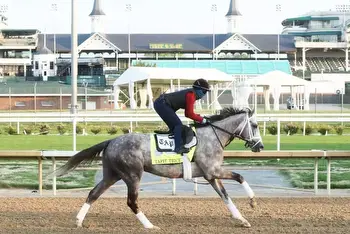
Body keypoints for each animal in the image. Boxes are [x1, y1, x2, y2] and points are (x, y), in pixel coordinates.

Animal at [54, 107, 262, 229]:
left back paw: (79, 221)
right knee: (131, 201)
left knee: (93, 194)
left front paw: (242, 220)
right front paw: (253, 202)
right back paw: (149, 226)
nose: (260, 146)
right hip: (132, 175)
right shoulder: (213, 171)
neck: (213, 136)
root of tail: (111, 141)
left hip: (112, 175)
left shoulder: (210, 175)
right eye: (254, 125)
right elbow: (240, 177)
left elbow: (225, 196)